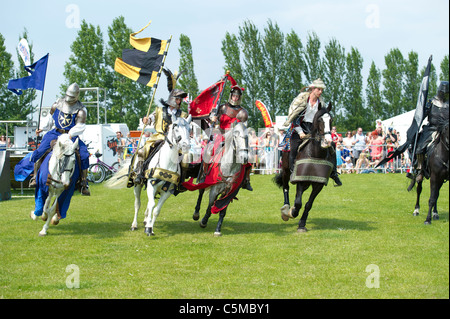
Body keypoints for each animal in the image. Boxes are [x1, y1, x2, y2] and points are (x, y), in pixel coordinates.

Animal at [274, 104, 334, 234]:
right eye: (320, 120)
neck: (315, 154)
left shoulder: (318, 184)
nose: (327, 141)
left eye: (331, 120)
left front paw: (302, 224)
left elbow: (308, 204)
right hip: (286, 171)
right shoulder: (300, 180)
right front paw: (292, 212)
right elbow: (298, 203)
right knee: (286, 187)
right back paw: (286, 209)